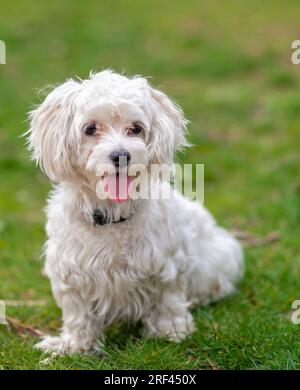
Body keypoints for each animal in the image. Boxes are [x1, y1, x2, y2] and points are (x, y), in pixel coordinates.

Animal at [27, 69, 244, 354]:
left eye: (136, 128)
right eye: (90, 128)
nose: (121, 155)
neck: (112, 216)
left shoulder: (167, 266)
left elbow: (168, 301)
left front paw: (171, 332)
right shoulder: (70, 274)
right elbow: (78, 314)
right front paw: (75, 345)